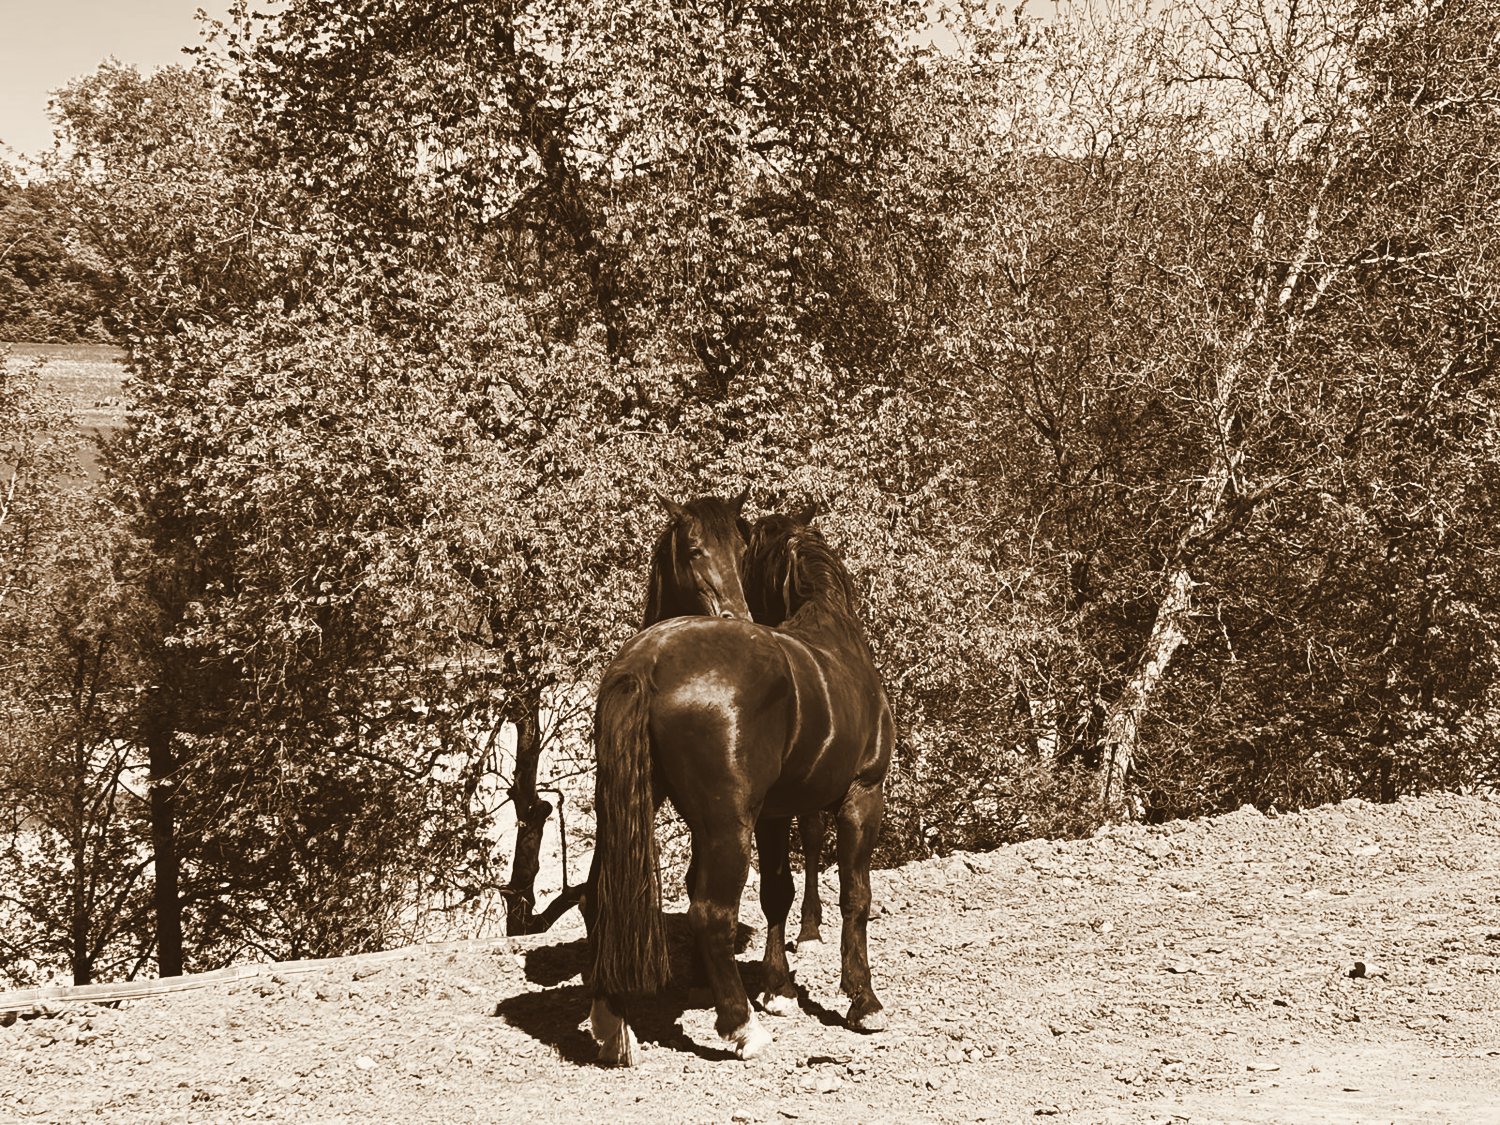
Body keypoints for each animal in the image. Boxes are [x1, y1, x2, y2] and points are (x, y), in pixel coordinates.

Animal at [587, 505, 894, 1065]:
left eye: (742, 553)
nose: (740, 610)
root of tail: (649, 657)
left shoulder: (773, 814)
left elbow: (777, 893)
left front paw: (778, 988)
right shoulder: (864, 796)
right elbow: (855, 895)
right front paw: (863, 1000)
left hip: (624, 811)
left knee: (603, 896)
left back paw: (611, 1025)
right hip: (728, 825)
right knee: (711, 913)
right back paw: (741, 1027)